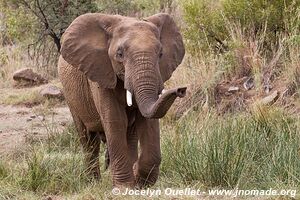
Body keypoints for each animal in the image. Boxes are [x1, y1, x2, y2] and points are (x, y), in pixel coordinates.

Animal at [57, 12, 186, 189]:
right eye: (119, 54)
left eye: (160, 54)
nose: (181, 90)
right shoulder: (101, 72)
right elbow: (115, 121)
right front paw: (123, 187)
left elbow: (148, 120)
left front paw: (139, 184)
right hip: (71, 96)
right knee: (88, 140)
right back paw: (93, 183)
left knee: (129, 135)